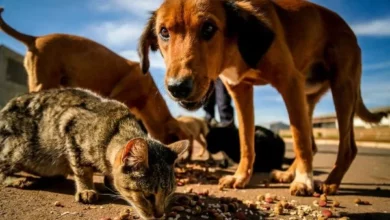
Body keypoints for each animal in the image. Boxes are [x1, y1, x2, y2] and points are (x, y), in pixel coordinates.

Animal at [0, 87, 189, 218]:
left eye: (169, 193)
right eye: (148, 196)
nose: (160, 215)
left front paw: (110, 181)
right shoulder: (70, 128)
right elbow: (82, 170)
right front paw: (86, 189)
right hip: (18, 151)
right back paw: (18, 180)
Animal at [138, 0, 386, 196]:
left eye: (208, 27)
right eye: (164, 32)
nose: (177, 87)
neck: (237, 45)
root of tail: (350, 31)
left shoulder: (290, 82)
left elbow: (299, 139)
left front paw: (304, 181)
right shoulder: (240, 92)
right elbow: (247, 141)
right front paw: (240, 177)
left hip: (342, 88)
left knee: (345, 146)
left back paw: (330, 182)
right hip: (308, 97)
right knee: (313, 143)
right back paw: (287, 174)